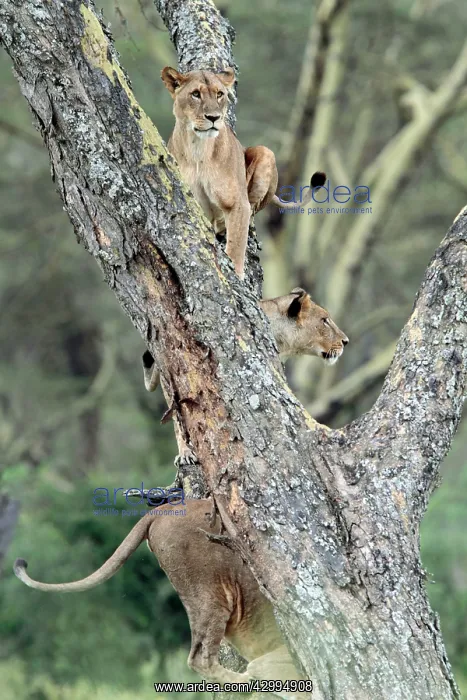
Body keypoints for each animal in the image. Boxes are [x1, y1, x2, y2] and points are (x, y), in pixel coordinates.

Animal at [161, 66, 326, 279]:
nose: (214, 118)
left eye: (219, 94)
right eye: (195, 94)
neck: (198, 149)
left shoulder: (238, 204)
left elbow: (236, 244)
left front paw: (236, 274)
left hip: (265, 152)